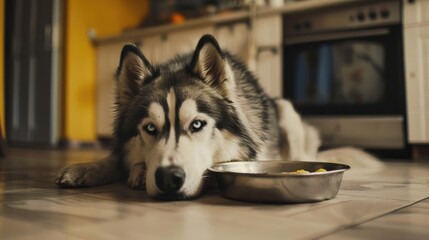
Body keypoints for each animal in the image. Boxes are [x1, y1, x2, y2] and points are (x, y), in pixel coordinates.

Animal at [55, 33, 380, 199]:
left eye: (197, 124)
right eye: (150, 129)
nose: (169, 179)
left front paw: (137, 172)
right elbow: (114, 159)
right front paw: (86, 168)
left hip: (287, 111)